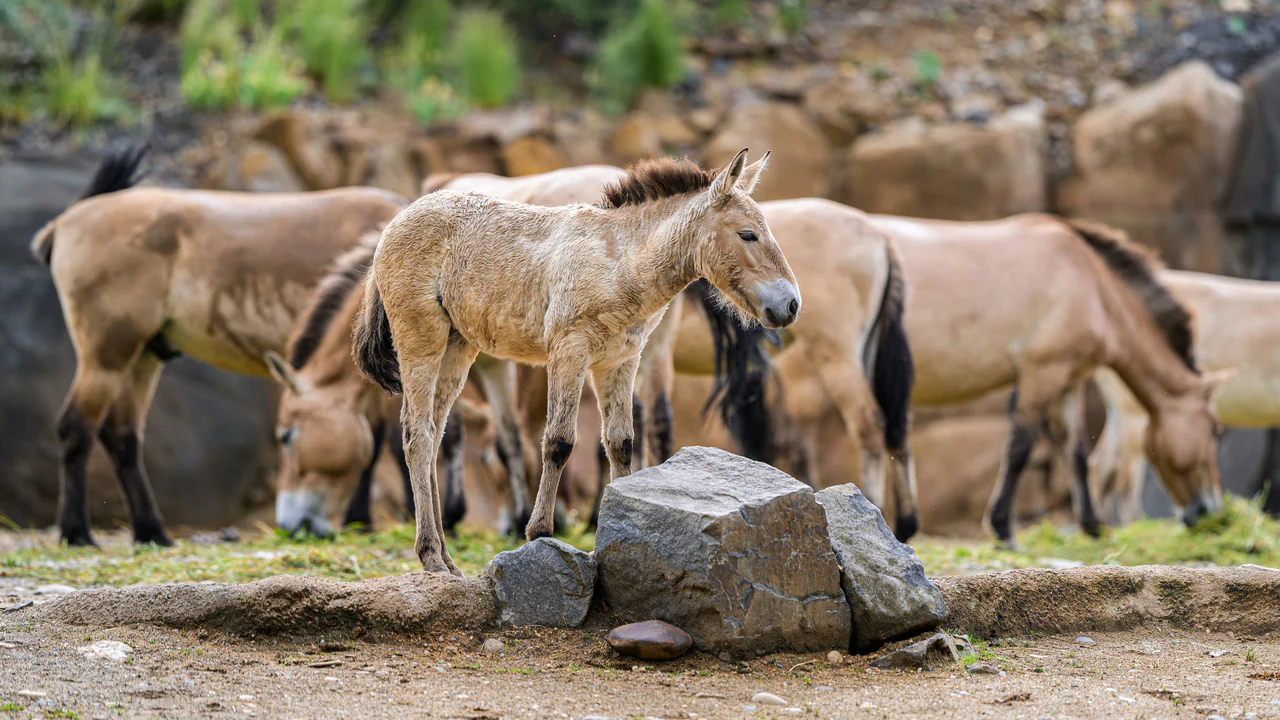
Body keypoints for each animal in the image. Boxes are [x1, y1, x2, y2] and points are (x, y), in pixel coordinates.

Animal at [33, 141, 409, 547]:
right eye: (284, 437)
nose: (290, 524)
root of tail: (65, 222)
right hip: (106, 358)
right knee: (76, 429)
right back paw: (77, 532)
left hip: (142, 356)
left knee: (122, 436)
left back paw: (152, 532)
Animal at [354, 150, 799, 573]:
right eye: (748, 233)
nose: (791, 304)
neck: (621, 260)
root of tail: (398, 220)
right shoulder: (569, 352)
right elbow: (558, 442)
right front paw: (538, 532)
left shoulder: (620, 362)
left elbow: (621, 444)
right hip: (421, 341)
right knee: (417, 435)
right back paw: (431, 556)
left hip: (457, 347)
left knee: (434, 433)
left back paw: (446, 559)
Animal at [709, 212, 1228, 543]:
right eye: (1215, 430)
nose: (1209, 511)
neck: (1090, 281)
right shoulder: (1042, 373)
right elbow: (1020, 445)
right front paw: (1001, 526)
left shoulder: (1065, 380)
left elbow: (1075, 451)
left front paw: (1093, 526)